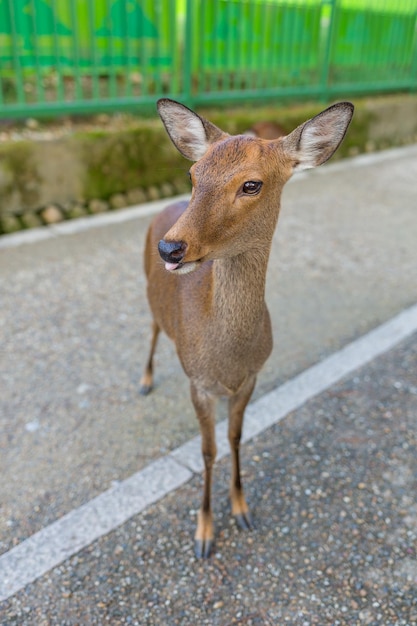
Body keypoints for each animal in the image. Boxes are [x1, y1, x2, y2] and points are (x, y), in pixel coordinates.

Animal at [139, 97, 352, 556]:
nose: (171, 247)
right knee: (152, 327)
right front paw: (203, 533)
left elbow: (236, 438)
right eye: (193, 174)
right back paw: (145, 380)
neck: (228, 359)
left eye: (251, 185)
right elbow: (207, 450)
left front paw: (241, 510)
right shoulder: (198, 383)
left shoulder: (252, 377)